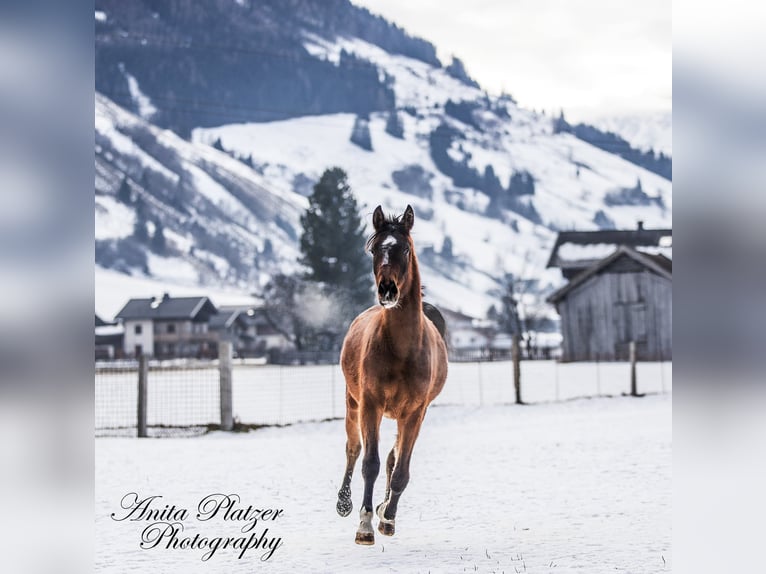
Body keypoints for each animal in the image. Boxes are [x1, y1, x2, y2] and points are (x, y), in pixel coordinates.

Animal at [336, 205, 450, 548]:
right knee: (353, 449)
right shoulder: (371, 405)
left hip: (403, 415)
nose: (387, 290)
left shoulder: (414, 413)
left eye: (406, 249)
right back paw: (344, 503)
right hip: (353, 404)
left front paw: (387, 518)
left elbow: (400, 469)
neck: (402, 348)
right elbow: (369, 463)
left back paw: (385, 508)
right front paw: (364, 526)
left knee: (392, 457)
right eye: (375, 249)